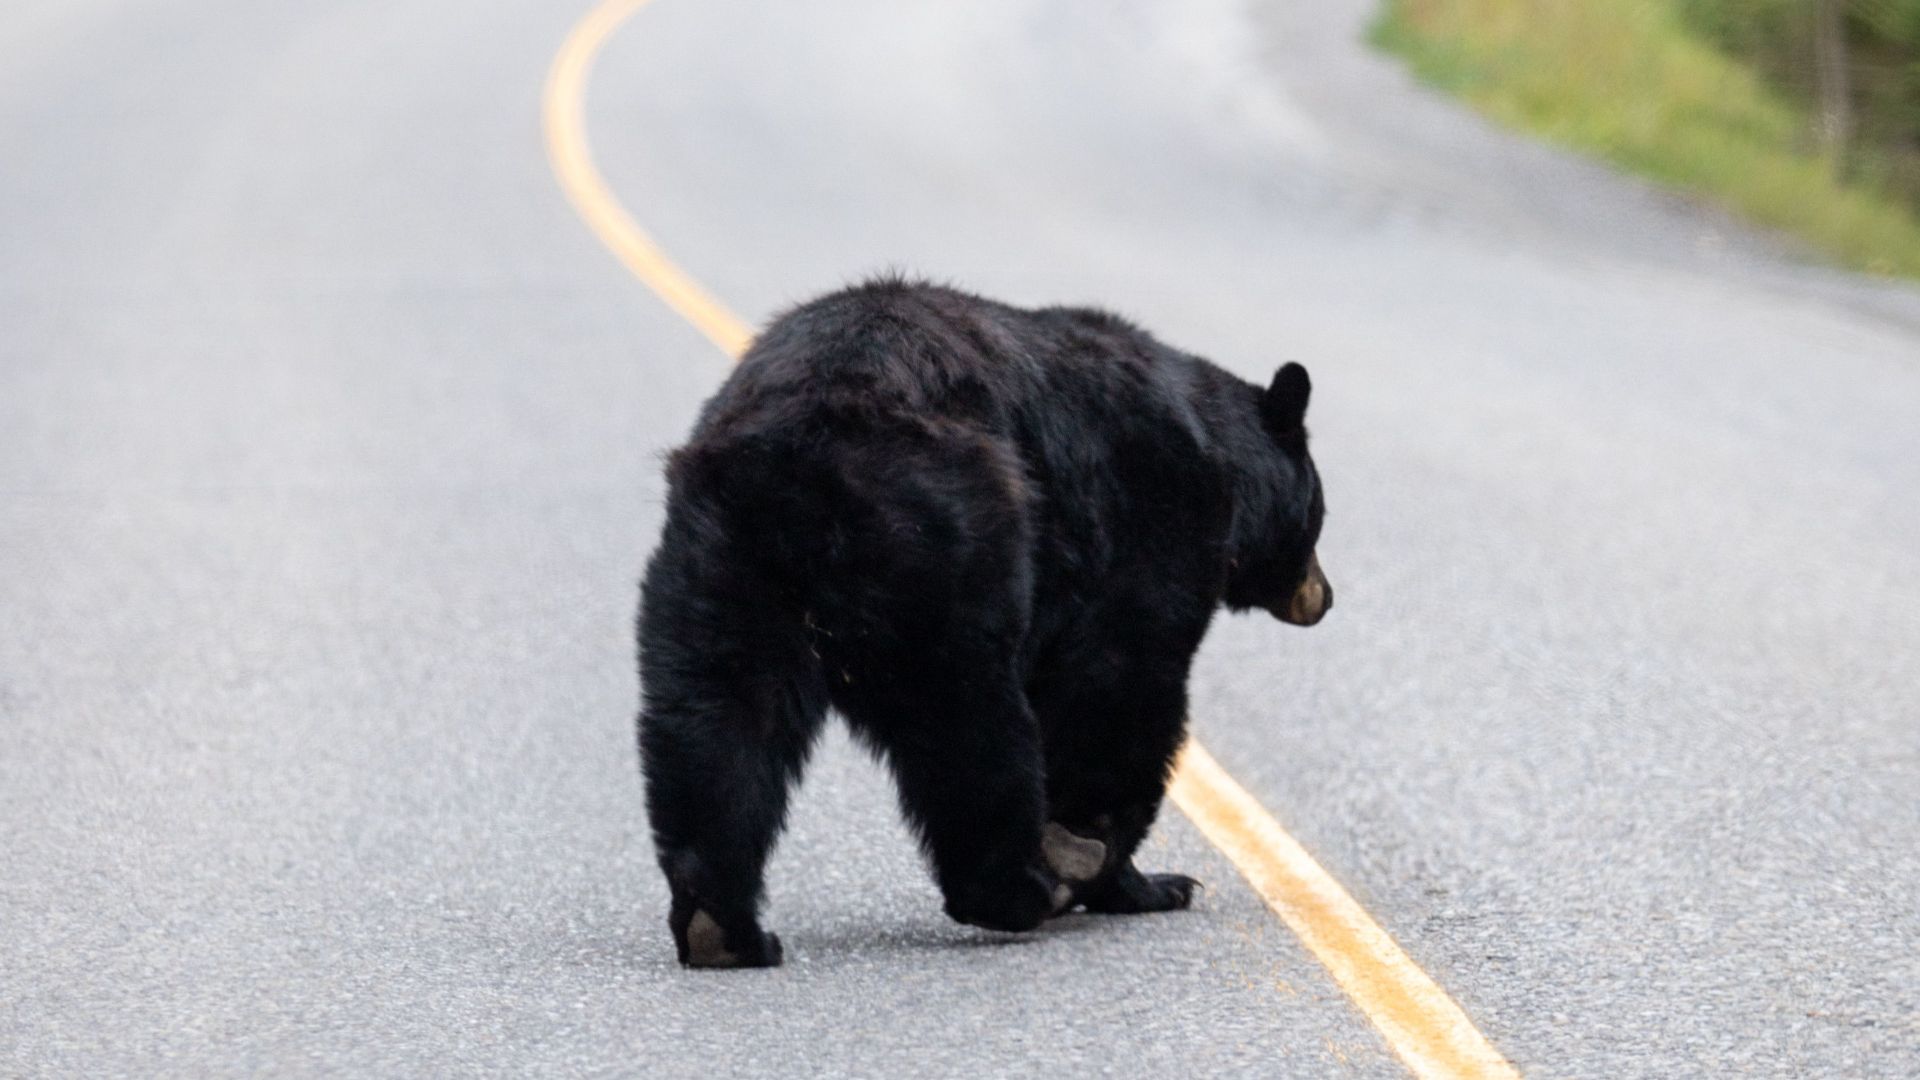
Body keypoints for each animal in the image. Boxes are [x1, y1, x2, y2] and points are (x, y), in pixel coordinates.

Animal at [637, 278, 1331, 968]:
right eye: (1320, 514)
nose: (1323, 596)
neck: (1219, 453)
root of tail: (803, 458)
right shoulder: (1151, 521)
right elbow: (1122, 680)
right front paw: (1132, 875)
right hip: (950, 541)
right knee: (969, 722)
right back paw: (1019, 890)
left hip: (722, 567)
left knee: (718, 720)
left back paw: (722, 927)